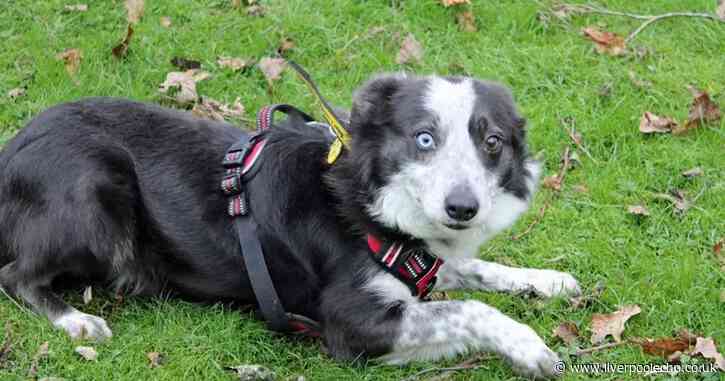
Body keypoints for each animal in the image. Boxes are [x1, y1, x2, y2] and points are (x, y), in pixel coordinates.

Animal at [0, 73, 576, 378]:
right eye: (424, 138)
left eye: (493, 141)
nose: (462, 208)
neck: (367, 199)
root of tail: (12, 150)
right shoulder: (352, 324)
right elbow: (468, 308)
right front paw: (529, 346)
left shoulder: (424, 261)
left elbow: (475, 270)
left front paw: (545, 281)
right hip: (97, 198)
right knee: (15, 275)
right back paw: (74, 319)